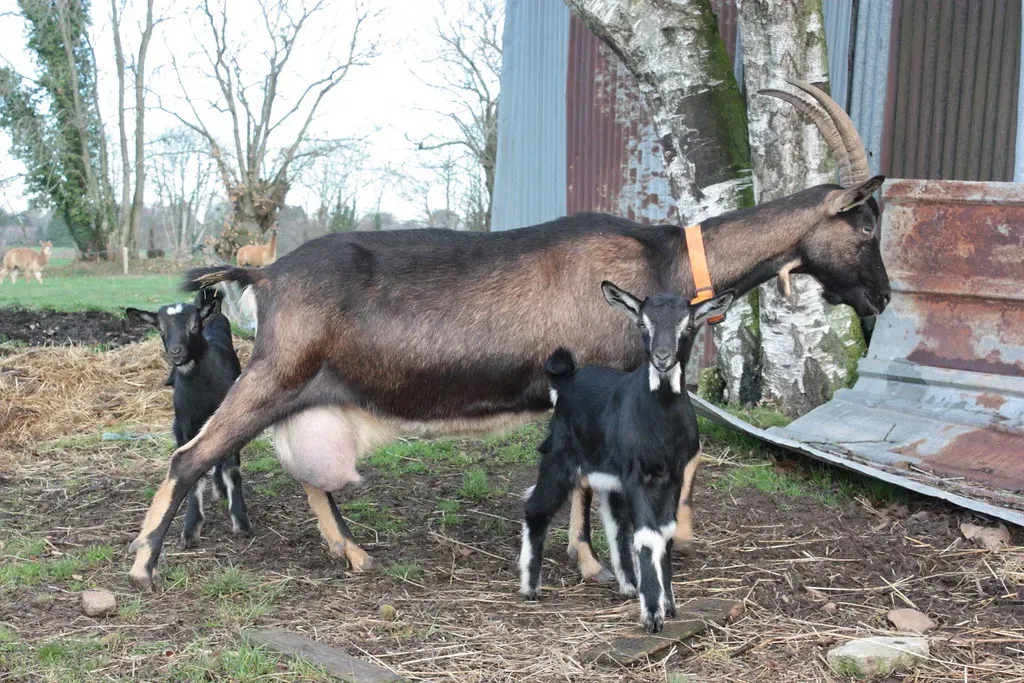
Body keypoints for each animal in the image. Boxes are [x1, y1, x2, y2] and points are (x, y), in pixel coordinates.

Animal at [126, 288, 251, 547]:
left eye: (194, 326)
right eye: (160, 329)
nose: (176, 352)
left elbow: (231, 468)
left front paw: (241, 522)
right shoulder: (185, 426)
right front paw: (191, 529)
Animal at [520, 283, 733, 633]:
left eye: (688, 325)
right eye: (643, 324)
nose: (662, 357)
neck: (660, 419)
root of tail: (567, 380)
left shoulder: (672, 477)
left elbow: (664, 533)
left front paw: (668, 605)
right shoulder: (638, 476)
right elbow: (647, 536)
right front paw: (652, 615)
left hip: (610, 477)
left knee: (615, 523)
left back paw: (629, 585)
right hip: (559, 458)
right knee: (536, 506)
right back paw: (529, 587)